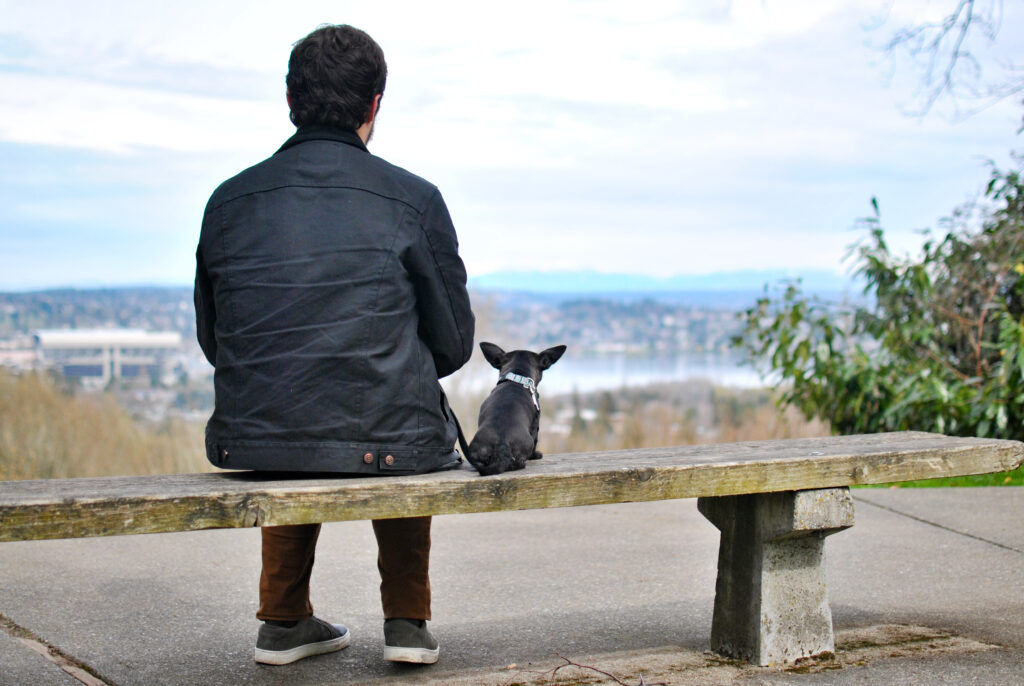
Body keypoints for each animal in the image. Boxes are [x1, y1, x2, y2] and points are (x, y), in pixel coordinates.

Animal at [466, 341, 569, 475]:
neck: (517, 378)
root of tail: (502, 445)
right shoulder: (535, 425)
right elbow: (536, 439)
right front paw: (536, 455)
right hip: (526, 445)